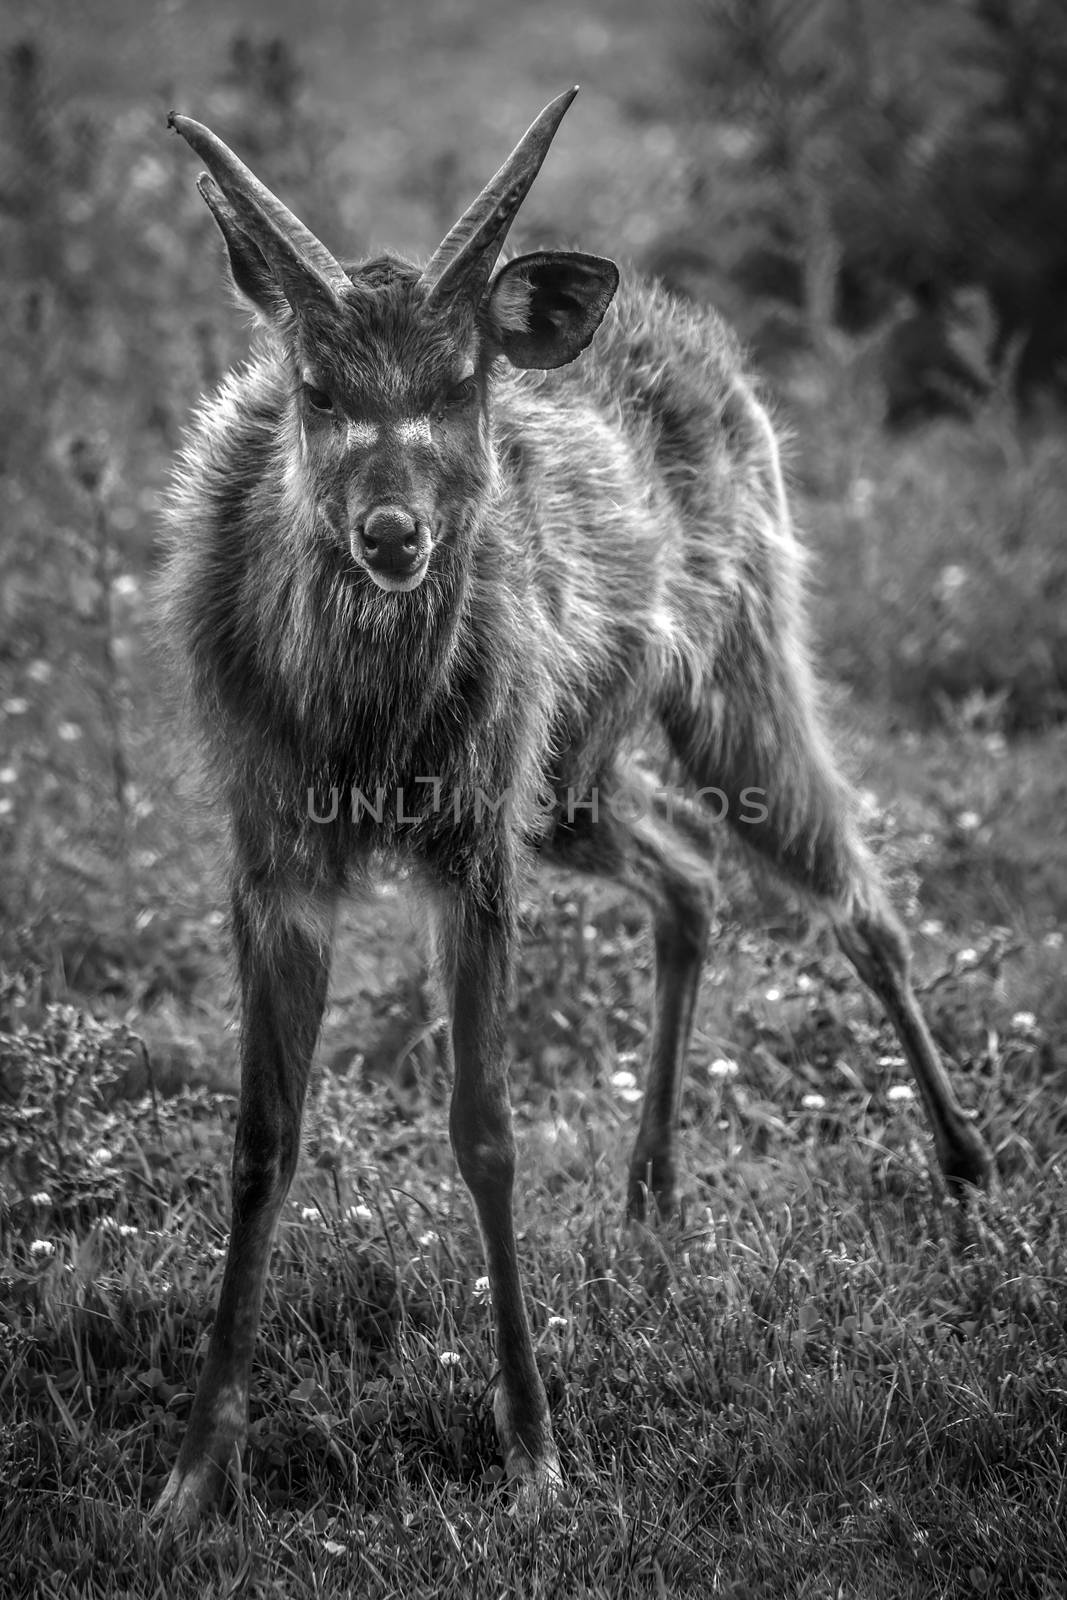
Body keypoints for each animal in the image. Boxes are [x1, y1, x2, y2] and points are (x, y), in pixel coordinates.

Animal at [156, 90, 991, 1523]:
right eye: (314, 385)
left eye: (461, 380)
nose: (392, 533)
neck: (363, 732)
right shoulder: (271, 851)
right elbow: (262, 1136)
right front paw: (195, 1472)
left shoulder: (472, 840)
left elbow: (484, 1128)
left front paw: (536, 1449)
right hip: (567, 773)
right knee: (691, 867)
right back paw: (649, 1192)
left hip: (738, 655)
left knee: (856, 885)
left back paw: (962, 1167)